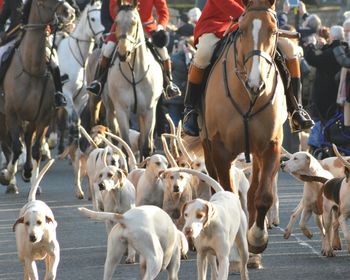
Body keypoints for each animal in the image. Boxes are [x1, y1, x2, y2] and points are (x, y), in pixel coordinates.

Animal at [1, 0, 74, 190]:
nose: (70, 12)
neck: (31, 68)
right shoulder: (12, 113)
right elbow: (16, 147)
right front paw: (8, 175)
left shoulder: (43, 117)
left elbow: (35, 150)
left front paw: (32, 179)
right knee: (7, 143)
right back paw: (11, 180)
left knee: (27, 139)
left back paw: (27, 172)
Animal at [106, 0, 163, 158]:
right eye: (116, 22)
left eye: (134, 22)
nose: (123, 53)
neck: (133, 72)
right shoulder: (121, 110)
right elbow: (126, 146)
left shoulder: (149, 110)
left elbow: (146, 147)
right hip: (110, 108)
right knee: (115, 139)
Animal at [202, 0, 288, 254]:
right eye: (241, 30)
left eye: (273, 30)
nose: (255, 83)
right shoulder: (220, 150)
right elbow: (226, 194)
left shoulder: (270, 146)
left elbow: (263, 196)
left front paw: (257, 238)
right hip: (208, 148)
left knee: (252, 193)